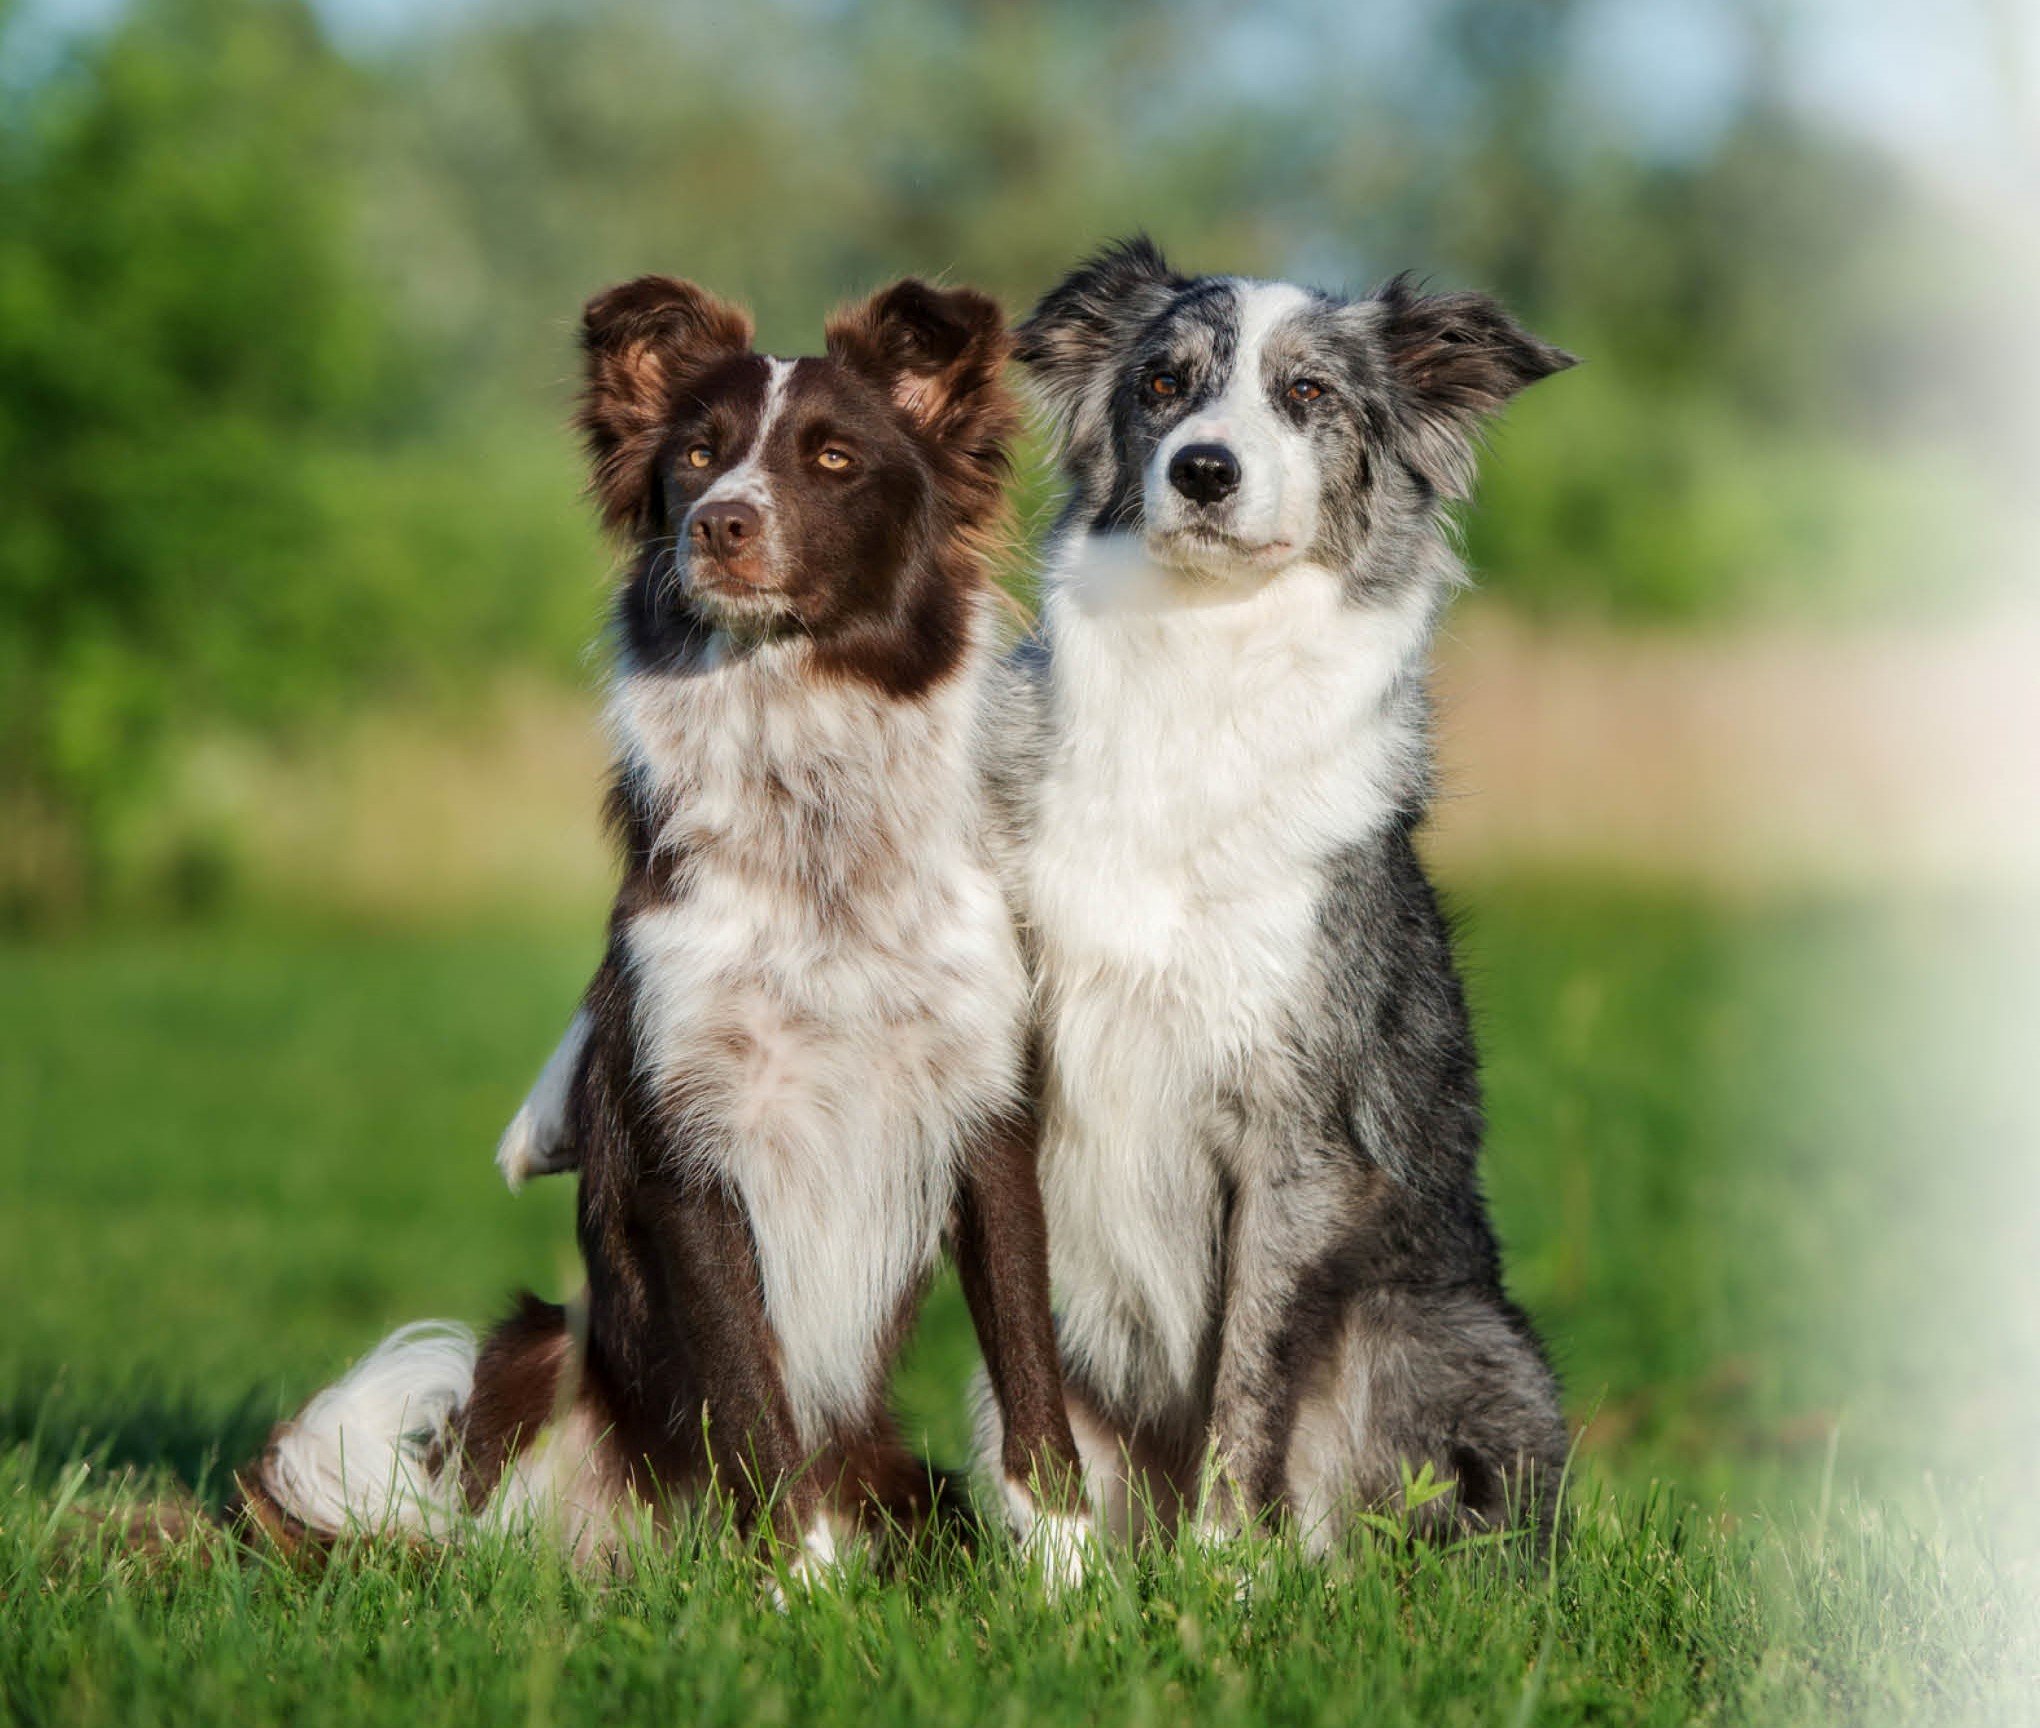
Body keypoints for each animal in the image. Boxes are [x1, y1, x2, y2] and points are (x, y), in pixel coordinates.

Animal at [233, 277, 1093, 1591]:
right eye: (695, 455)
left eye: (832, 458)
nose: (720, 524)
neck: (813, 827)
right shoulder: (689, 1141)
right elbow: (752, 1398)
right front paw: (802, 1595)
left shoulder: (988, 1120)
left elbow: (1033, 1382)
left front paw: (1075, 1590)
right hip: (539, 1350)